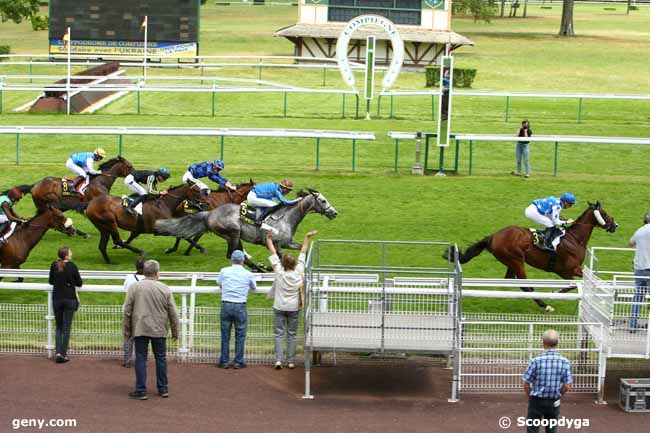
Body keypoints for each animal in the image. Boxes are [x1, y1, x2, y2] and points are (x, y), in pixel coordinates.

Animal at [154, 189, 336, 270]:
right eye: (323, 200)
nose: (334, 213)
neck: (286, 218)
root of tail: (210, 213)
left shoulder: (288, 242)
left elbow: (299, 248)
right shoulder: (276, 243)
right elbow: (279, 257)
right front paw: (271, 267)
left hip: (236, 235)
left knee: (238, 253)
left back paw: (256, 267)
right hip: (233, 232)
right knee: (231, 254)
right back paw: (258, 267)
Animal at [448, 202, 616, 310]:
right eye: (604, 213)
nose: (615, 225)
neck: (575, 239)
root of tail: (493, 236)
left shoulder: (564, 272)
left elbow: (575, 284)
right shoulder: (570, 269)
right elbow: (575, 284)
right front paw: (555, 293)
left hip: (511, 262)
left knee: (511, 280)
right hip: (517, 260)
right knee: (524, 285)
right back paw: (545, 305)